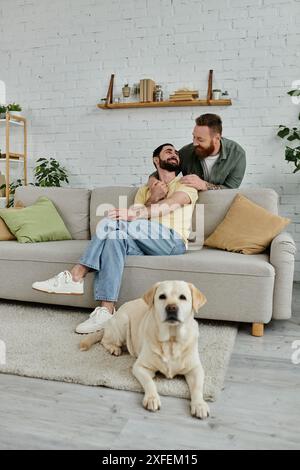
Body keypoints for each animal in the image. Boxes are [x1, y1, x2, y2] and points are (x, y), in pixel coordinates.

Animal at [81, 280, 210, 420]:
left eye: (183, 297)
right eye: (162, 296)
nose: (171, 308)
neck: (171, 340)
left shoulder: (196, 369)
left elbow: (197, 387)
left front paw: (199, 405)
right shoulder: (140, 367)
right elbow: (149, 382)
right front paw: (152, 398)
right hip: (123, 323)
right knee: (105, 340)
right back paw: (114, 348)